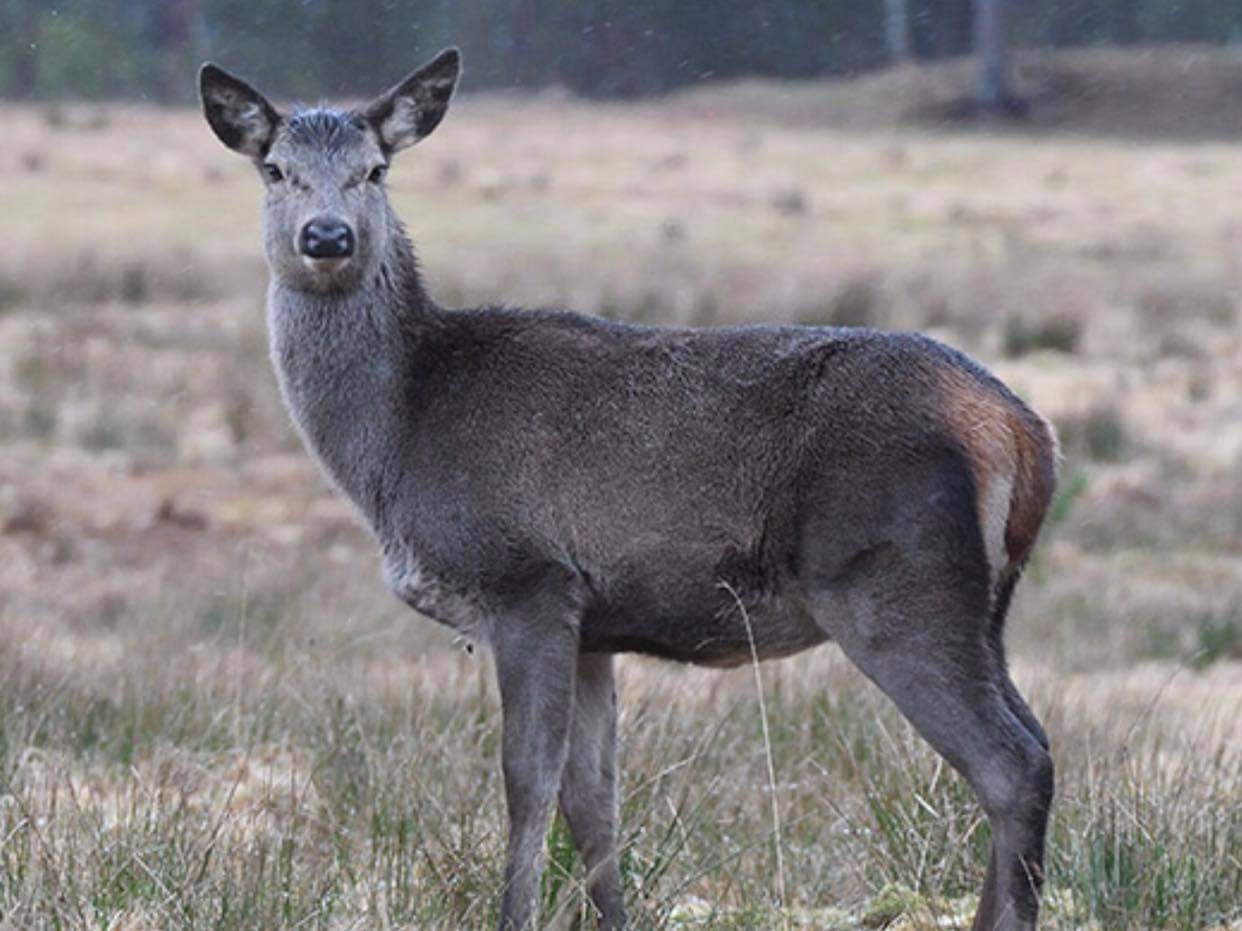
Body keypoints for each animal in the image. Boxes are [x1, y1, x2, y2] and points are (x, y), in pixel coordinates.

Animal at [199, 48, 1058, 931]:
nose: (326, 236)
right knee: (1035, 739)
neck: (402, 436)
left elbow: (527, 779)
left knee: (1011, 762)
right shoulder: (593, 624)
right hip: (982, 603)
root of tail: (1022, 429)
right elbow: (593, 798)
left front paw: (514, 914)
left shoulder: (528, 580)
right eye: (275, 169)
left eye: (375, 169)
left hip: (893, 578)